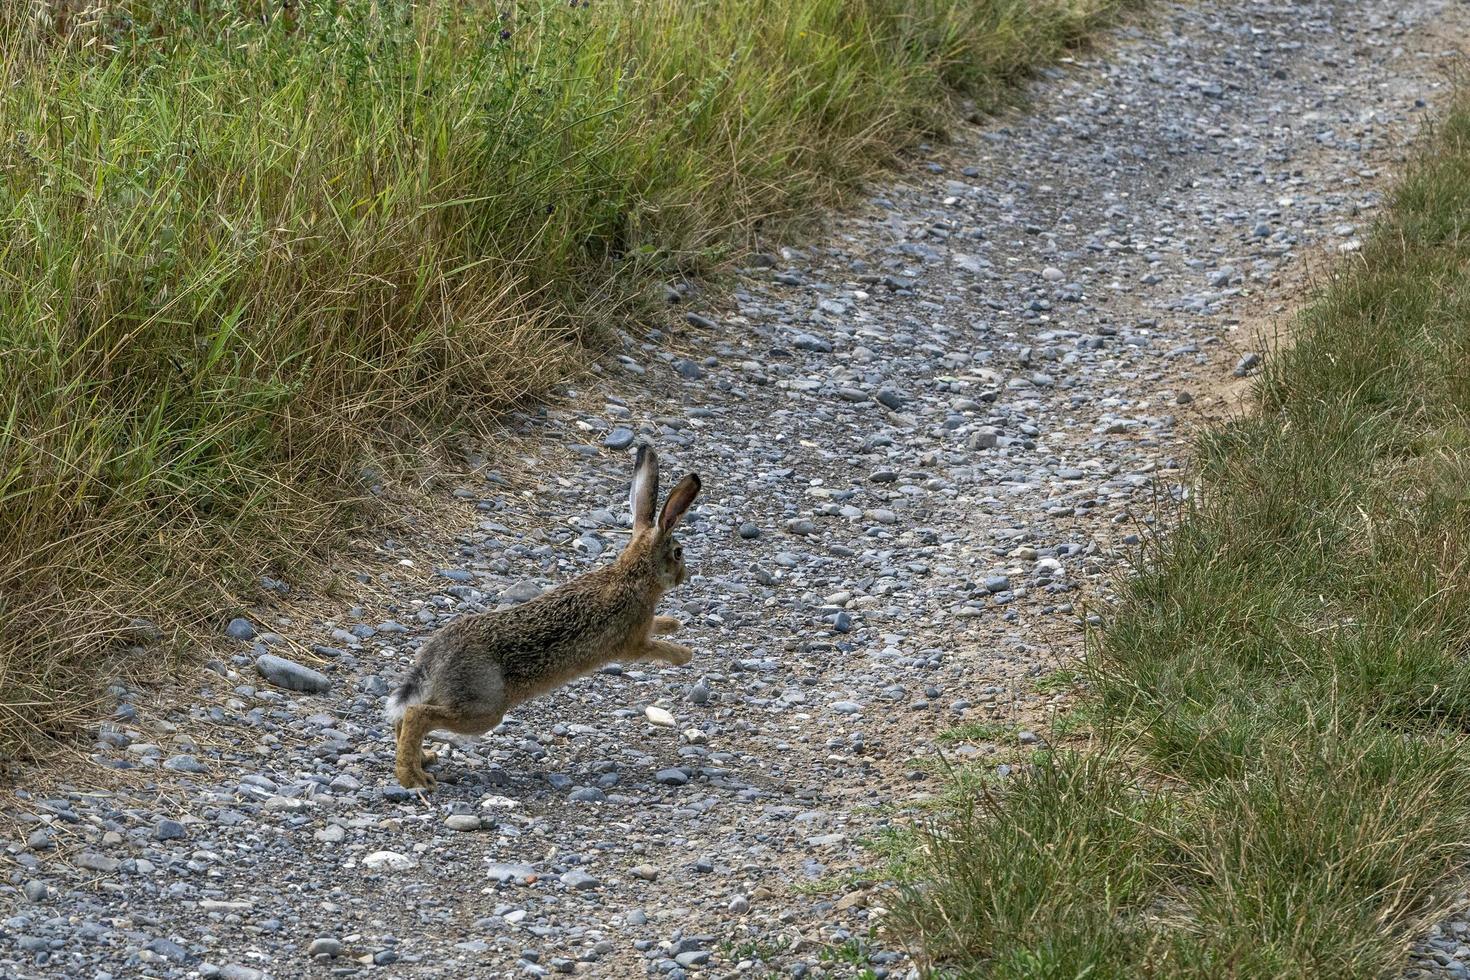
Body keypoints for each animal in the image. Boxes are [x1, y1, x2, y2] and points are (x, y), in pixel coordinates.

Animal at [384, 444, 702, 790]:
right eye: (679, 553)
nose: (684, 576)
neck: (632, 575)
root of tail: (435, 655)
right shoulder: (632, 643)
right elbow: (656, 649)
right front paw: (685, 655)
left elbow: (659, 626)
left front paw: (673, 624)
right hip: (483, 709)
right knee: (417, 715)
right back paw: (412, 777)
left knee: (407, 715)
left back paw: (423, 759)